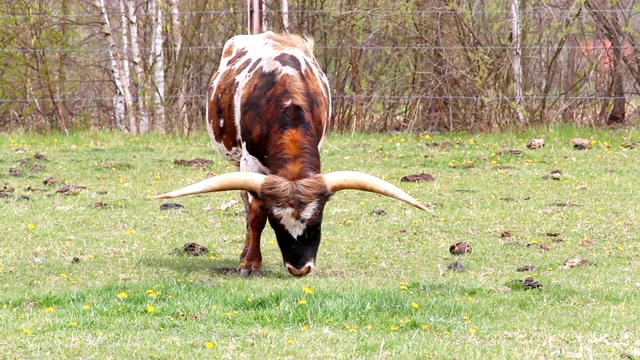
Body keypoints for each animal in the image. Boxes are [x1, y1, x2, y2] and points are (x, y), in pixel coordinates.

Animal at [155, 32, 428, 278]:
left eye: (317, 223)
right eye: (277, 224)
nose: (300, 268)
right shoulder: (249, 163)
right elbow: (255, 214)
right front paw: (251, 264)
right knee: (245, 202)